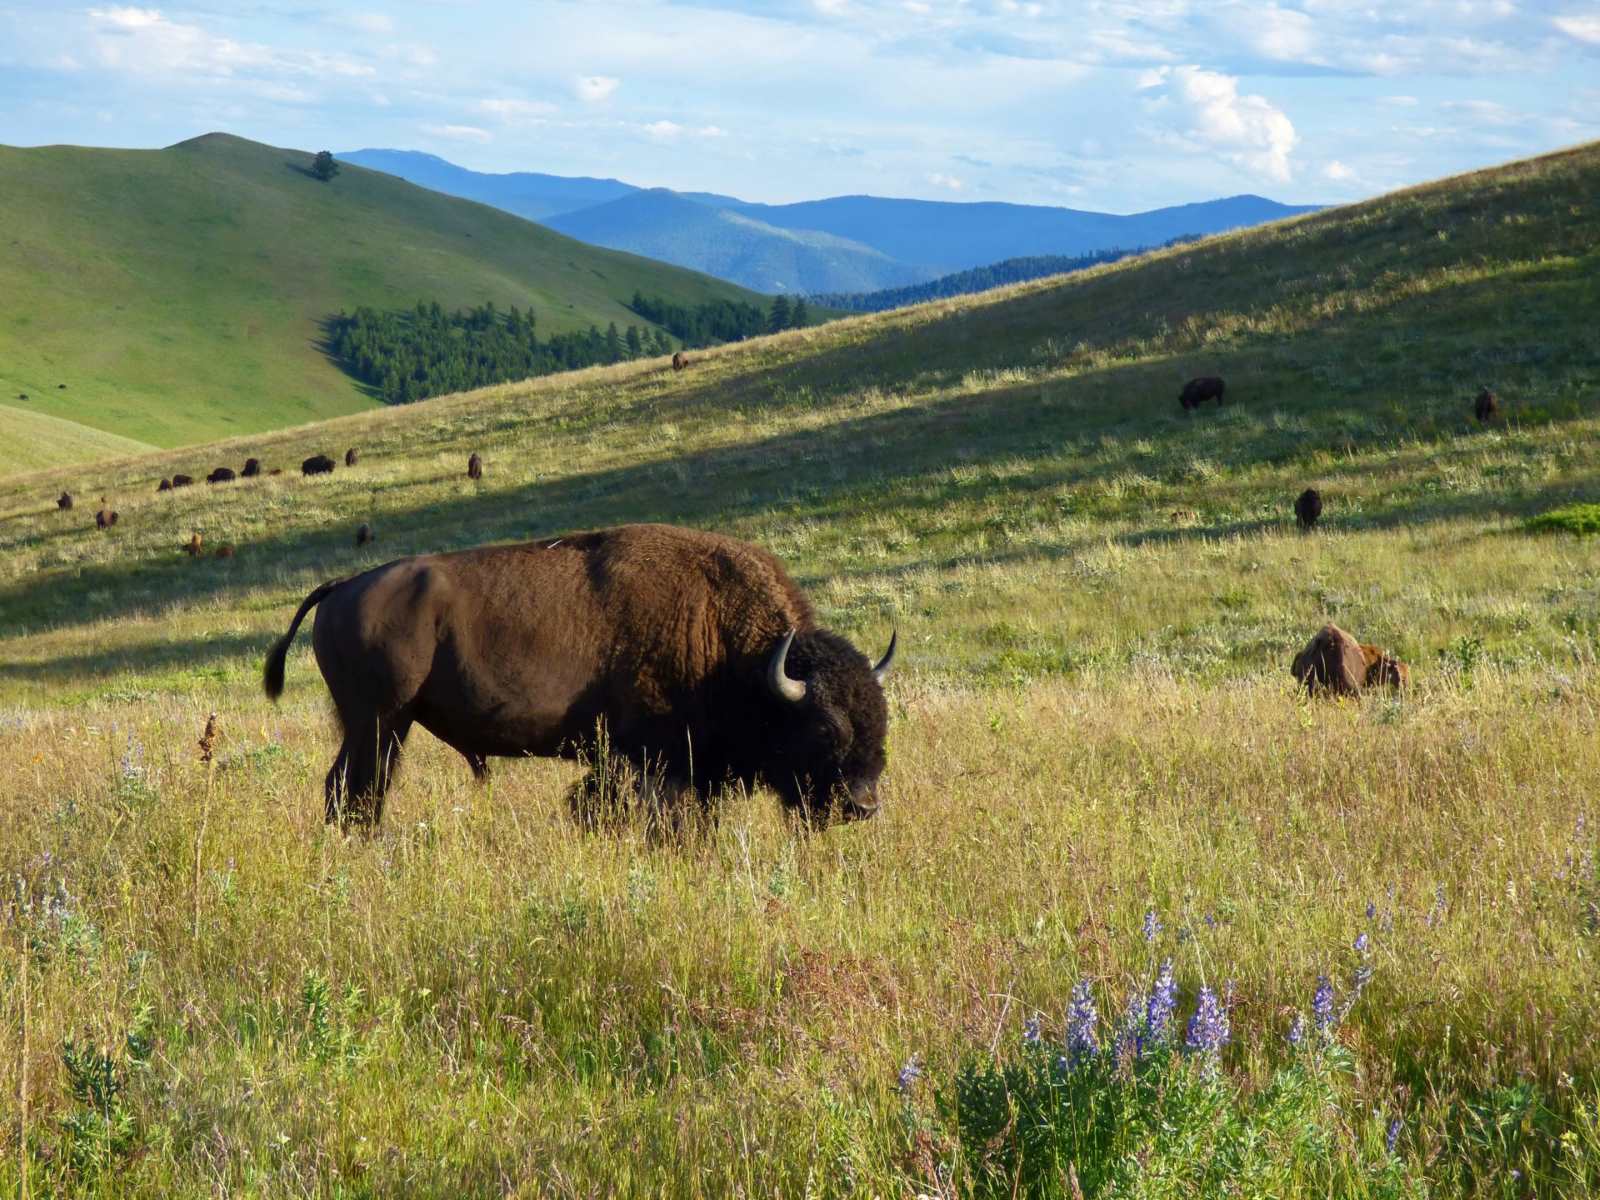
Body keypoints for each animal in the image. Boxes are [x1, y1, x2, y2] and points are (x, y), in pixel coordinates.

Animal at [263, 523, 896, 831]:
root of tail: (343, 587)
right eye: (824, 728)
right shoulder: (653, 763)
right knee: (355, 791)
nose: (863, 806)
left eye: (880, 728)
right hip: (379, 724)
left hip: (377, 728)